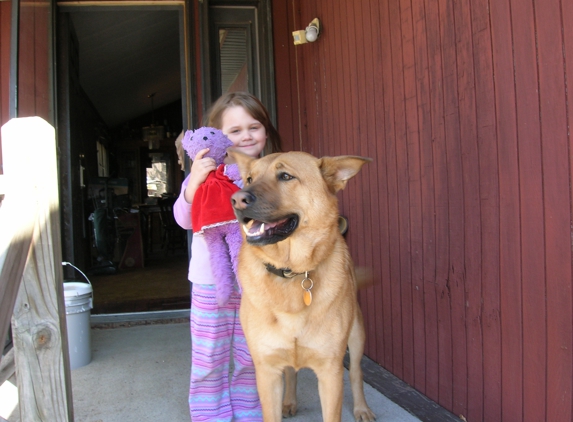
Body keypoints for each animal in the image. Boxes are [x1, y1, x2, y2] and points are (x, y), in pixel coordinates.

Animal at [228, 150, 376, 420]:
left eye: (286, 176)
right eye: (249, 178)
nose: (236, 200)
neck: (291, 271)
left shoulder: (330, 372)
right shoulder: (267, 371)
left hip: (357, 333)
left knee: (356, 372)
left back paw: (361, 408)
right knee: (291, 370)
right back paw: (289, 401)